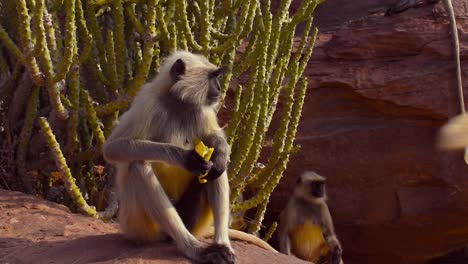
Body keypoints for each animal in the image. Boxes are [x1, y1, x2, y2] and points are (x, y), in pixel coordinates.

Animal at [103, 51, 234, 264]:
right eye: (213, 77)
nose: (219, 88)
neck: (177, 103)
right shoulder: (147, 103)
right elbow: (113, 148)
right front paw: (184, 157)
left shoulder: (201, 110)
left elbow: (213, 140)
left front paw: (221, 151)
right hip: (138, 227)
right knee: (138, 165)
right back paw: (193, 248)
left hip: (194, 223)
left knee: (216, 170)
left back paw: (222, 245)